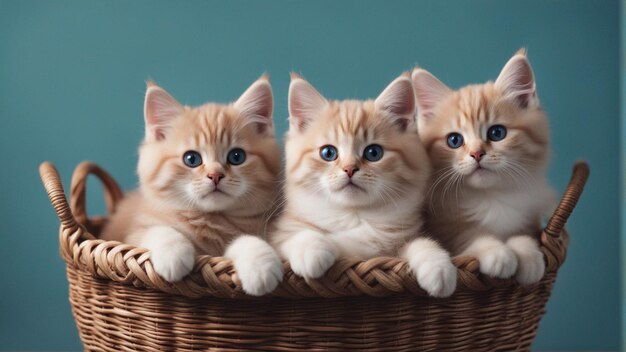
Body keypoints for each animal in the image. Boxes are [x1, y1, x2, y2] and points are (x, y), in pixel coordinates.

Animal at [102, 75, 282, 296]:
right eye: (191, 159)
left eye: (236, 156)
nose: (215, 175)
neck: (213, 221)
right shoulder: (132, 236)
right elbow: (157, 230)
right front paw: (173, 254)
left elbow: (248, 241)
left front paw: (260, 265)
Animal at [270, 73, 456, 298]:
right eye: (328, 153)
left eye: (373, 153)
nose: (350, 169)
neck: (354, 216)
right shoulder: (279, 234)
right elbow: (297, 236)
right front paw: (312, 251)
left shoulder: (396, 246)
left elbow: (422, 243)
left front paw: (438, 267)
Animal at [412, 50, 552, 286]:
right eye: (454, 140)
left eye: (497, 133)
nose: (477, 154)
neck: (491, 197)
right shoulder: (447, 231)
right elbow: (471, 237)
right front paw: (497, 253)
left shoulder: (530, 220)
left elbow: (524, 235)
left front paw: (528, 255)